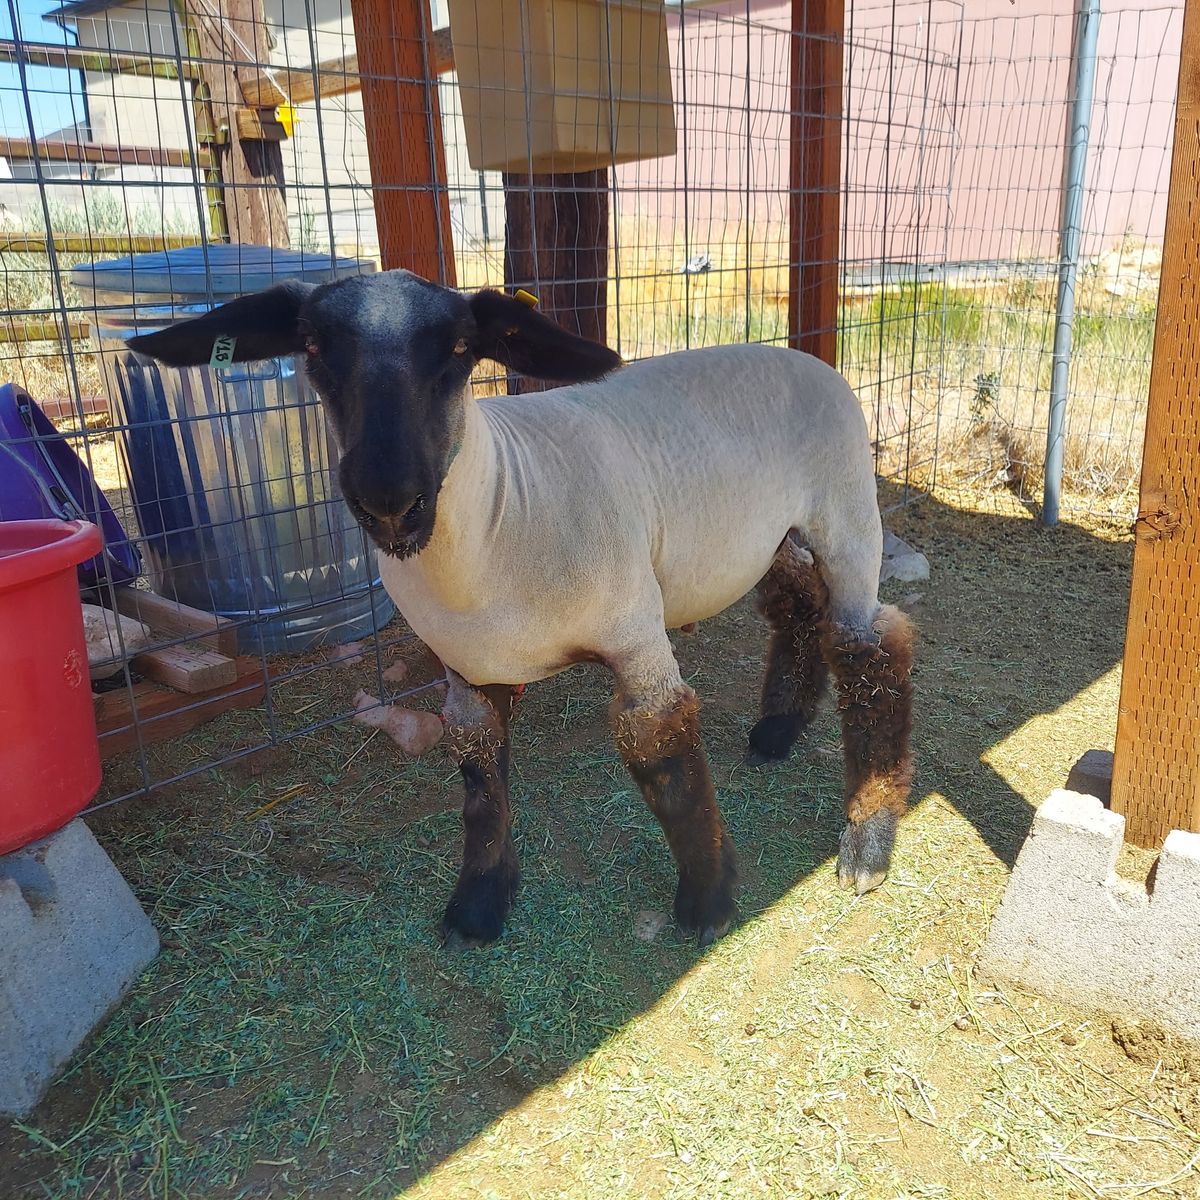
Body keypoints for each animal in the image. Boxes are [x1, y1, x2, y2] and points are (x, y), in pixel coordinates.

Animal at [127, 269, 915, 947]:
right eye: (315, 347)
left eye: (458, 348)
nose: (390, 499)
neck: (500, 513)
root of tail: (801, 355)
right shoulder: (468, 673)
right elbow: (481, 789)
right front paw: (477, 907)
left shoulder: (635, 639)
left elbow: (666, 762)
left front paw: (708, 901)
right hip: (761, 541)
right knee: (801, 609)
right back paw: (778, 730)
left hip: (846, 514)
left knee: (874, 647)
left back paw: (867, 843)